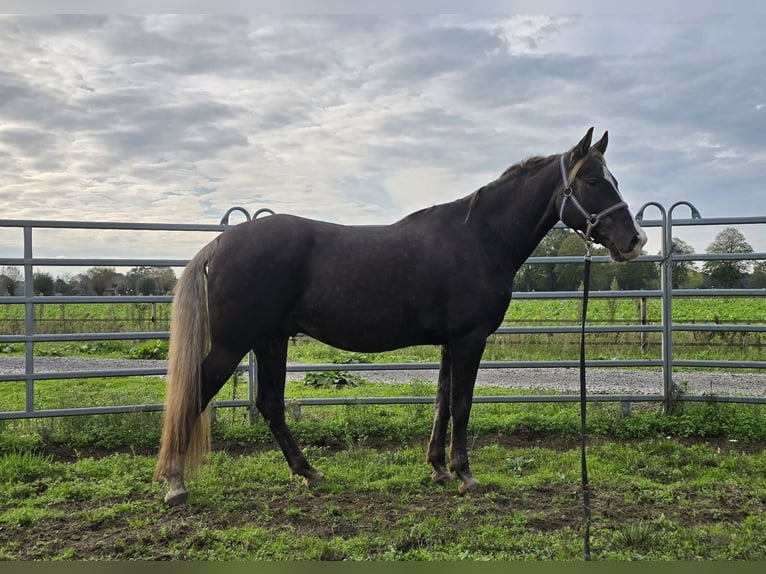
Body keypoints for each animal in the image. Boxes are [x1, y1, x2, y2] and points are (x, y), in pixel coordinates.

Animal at [155, 127, 647, 505]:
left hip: (270, 340)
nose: (635, 240)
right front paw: (466, 475)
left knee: (271, 406)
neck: (480, 237)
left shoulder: (452, 341)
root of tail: (222, 242)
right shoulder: (470, 339)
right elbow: (462, 405)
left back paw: (309, 472)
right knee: (197, 393)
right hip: (232, 344)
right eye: (593, 182)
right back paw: (176, 483)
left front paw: (439, 469)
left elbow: (442, 402)